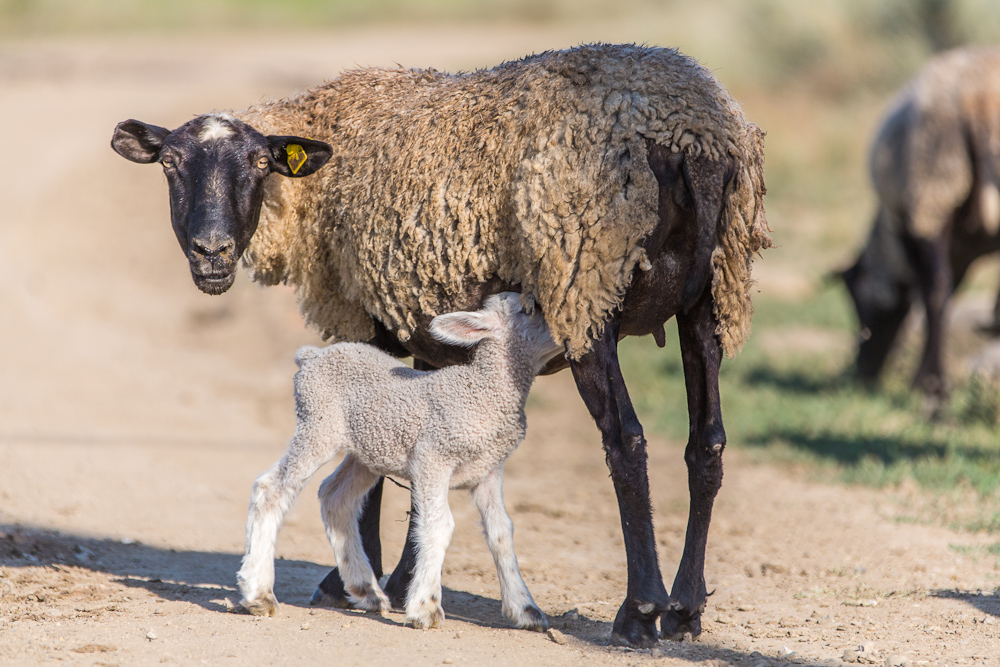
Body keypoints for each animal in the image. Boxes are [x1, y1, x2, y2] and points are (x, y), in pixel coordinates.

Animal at [236, 294, 564, 632]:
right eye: (529, 309)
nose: (566, 336)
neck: (483, 392)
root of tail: (312, 355)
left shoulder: (489, 470)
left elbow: (501, 532)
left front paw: (525, 609)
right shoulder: (433, 455)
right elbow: (439, 525)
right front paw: (426, 607)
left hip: (368, 449)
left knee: (335, 495)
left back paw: (365, 590)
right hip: (318, 426)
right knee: (271, 489)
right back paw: (258, 593)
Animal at [840, 47, 1000, 408]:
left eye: (856, 297)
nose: (863, 370)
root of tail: (976, 97)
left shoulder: (910, 227)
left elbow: (927, 296)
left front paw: (920, 380)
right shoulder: (962, 251)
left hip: (931, 190)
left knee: (937, 291)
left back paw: (934, 388)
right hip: (939, 188)